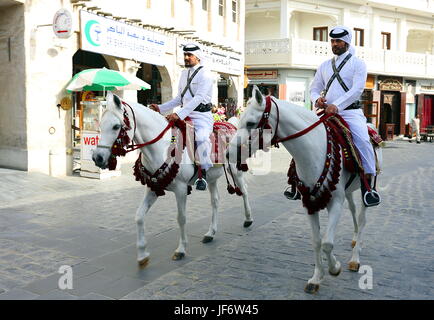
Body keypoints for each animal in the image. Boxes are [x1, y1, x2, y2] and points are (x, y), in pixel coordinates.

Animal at [93, 92, 253, 264]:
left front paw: (181, 249)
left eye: (116, 126)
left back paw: (248, 219)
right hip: (211, 178)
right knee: (215, 201)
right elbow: (139, 216)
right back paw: (211, 233)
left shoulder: (181, 189)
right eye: (101, 125)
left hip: (235, 170)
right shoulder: (153, 187)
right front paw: (142, 254)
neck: (162, 148)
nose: (97, 157)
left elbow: (181, 218)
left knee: (244, 191)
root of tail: (232, 125)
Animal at [229, 86, 382, 294]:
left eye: (251, 123)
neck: (314, 150)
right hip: (349, 191)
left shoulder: (335, 202)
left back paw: (355, 258)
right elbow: (317, 242)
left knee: (362, 217)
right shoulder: (309, 202)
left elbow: (327, 243)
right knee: (352, 210)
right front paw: (316, 278)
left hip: (367, 185)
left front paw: (335, 268)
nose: (228, 153)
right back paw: (354, 238)